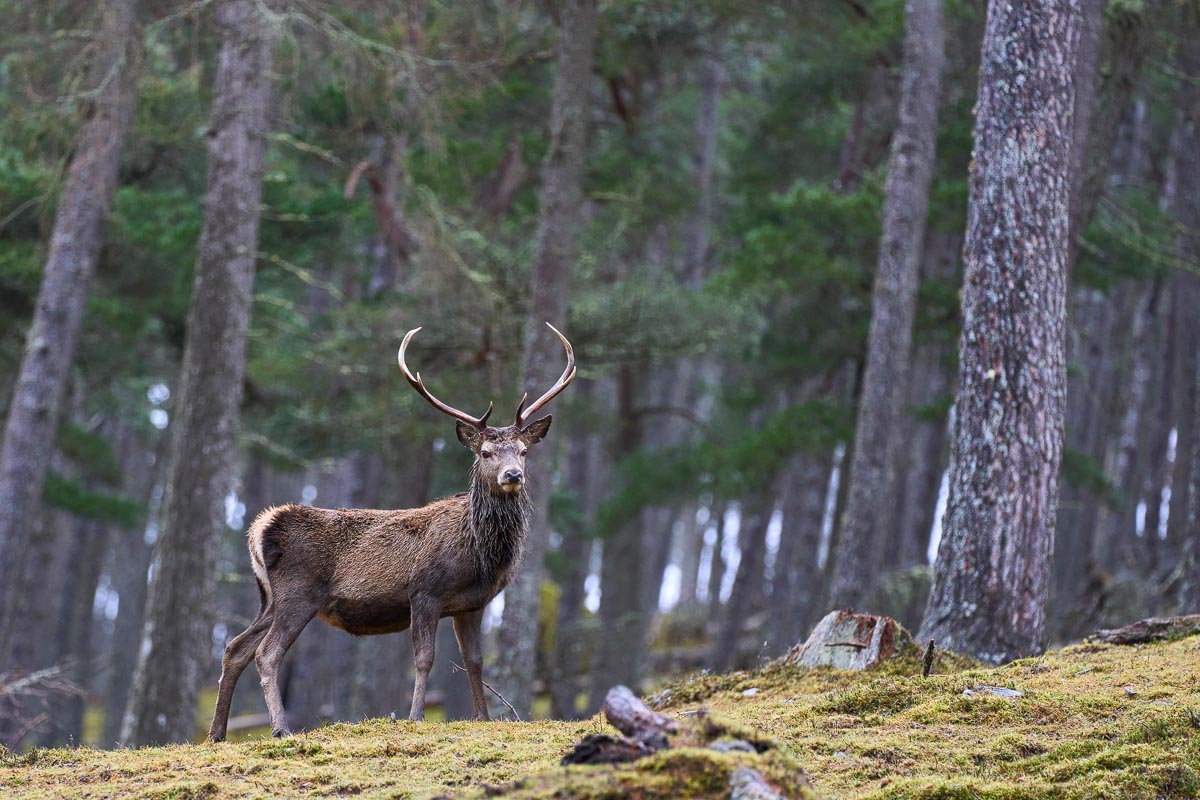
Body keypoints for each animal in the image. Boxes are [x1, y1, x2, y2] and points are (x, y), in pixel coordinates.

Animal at [207, 323, 575, 741]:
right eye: (485, 453)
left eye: (524, 451)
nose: (513, 475)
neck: (480, 553)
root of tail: (260, 527)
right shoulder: (425, 591)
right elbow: (425, 657)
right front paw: (415, 716)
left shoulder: (473, 603)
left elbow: (475, 659)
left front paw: (482, 718)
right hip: (298, 591)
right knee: (266, 653)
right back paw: (281, 729)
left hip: (269, 597)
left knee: (235, 647)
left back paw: (216, 733)